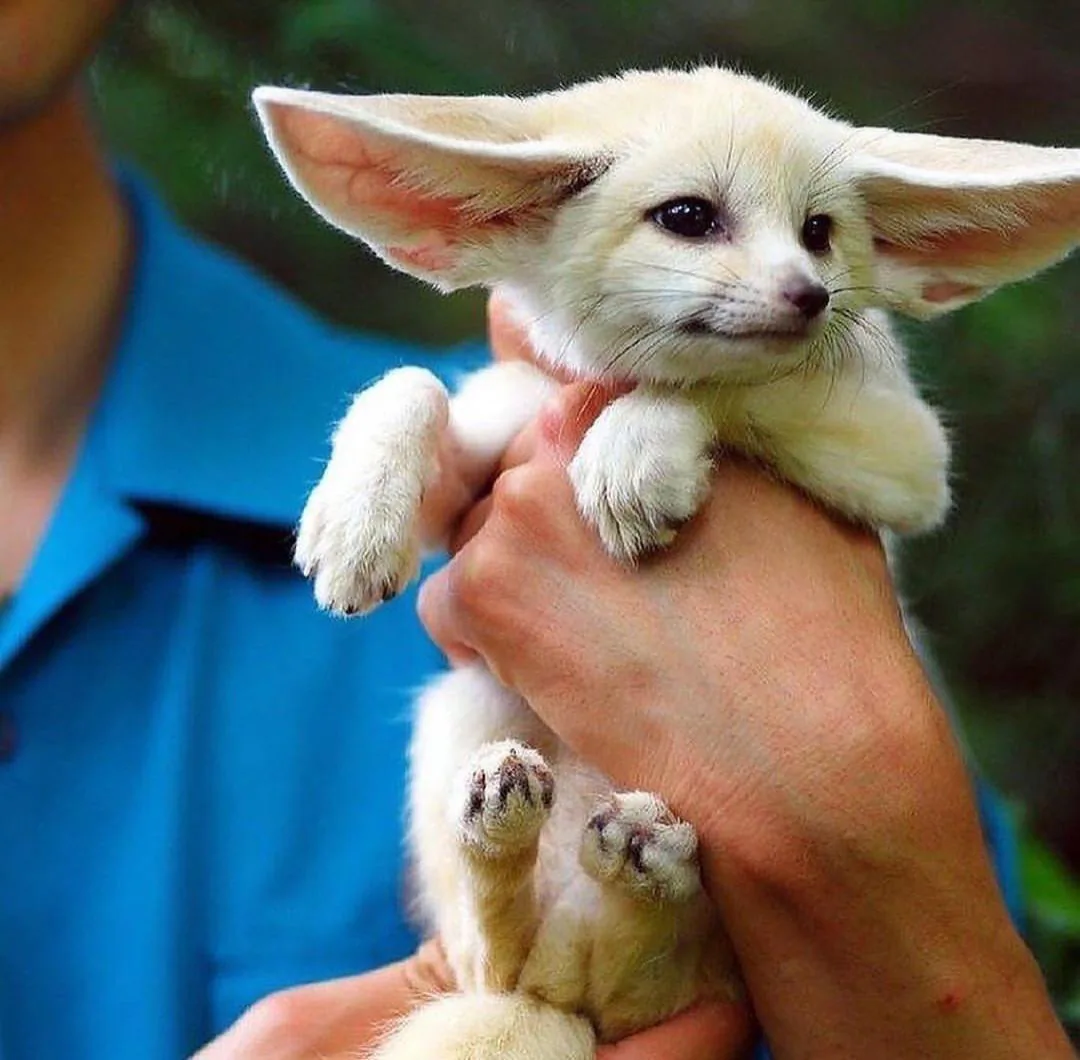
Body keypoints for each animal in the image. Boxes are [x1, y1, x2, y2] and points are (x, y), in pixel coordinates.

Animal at [252, 66, 1080, 1059]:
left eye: (819, 230)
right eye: (688, 216)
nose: (811, 295)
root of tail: (562, 995)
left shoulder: (910, 456)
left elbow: (724, 382)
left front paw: (635, 451)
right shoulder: (493, 437)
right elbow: (408, 383)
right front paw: (354, 525)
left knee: (628, 978)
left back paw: (642, 866)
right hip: (464, 701)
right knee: (498, 959)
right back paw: (507, 827)